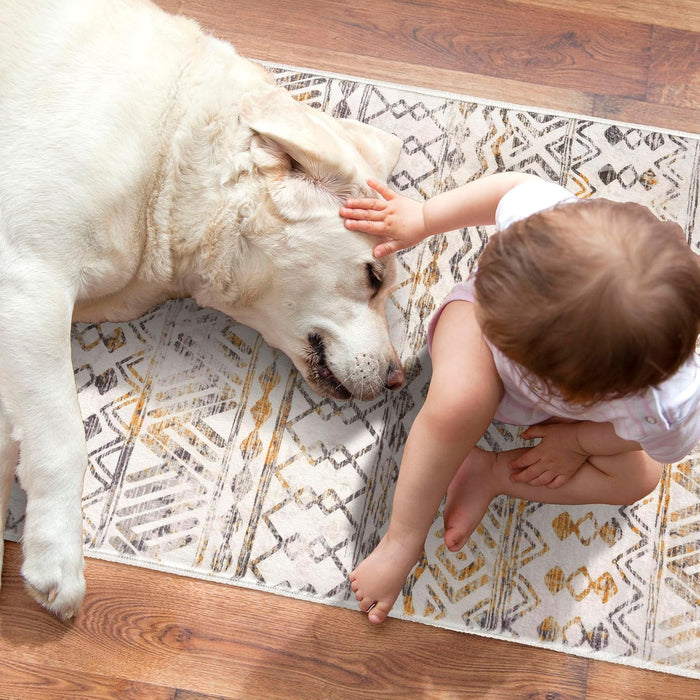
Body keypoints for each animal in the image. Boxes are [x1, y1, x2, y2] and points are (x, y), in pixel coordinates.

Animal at [0, 0, 404, 616]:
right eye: (373, 277)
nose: (398, 379)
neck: (173, 153)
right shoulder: (29, 280)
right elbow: (63, 436)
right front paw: (56, 557)